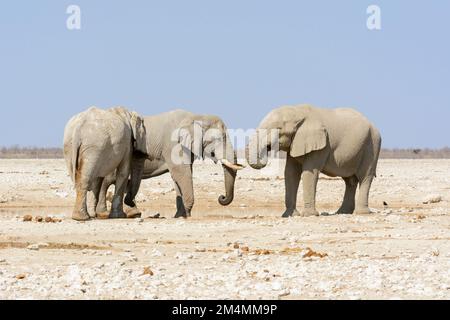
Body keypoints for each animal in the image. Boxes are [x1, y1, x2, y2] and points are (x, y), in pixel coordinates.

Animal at [94, 109, 243, 219]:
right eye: (219, 138)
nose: (221, 197)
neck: (196, 116)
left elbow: (179, 176)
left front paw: (180, 216)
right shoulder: (173, 145)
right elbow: (181, 173)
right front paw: (187, 215)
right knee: (107, 181)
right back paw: (104, 213)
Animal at [246, 105, 380, 218]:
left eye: (278, 129)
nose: (268, 148)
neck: (297, 111)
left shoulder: (322, 145)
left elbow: (309, 172)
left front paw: (309, 215)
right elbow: (290, 173)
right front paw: (290, 215)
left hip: (372, 145)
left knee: (365, 176)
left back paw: (362, 213)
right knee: (350, 181)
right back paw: (342, 212)